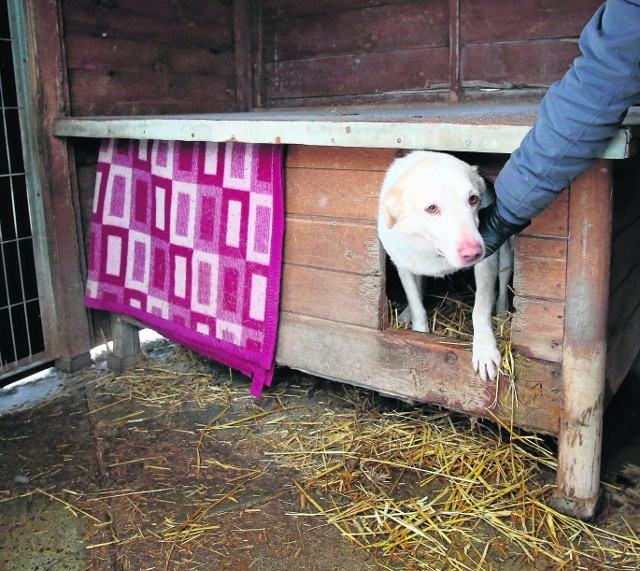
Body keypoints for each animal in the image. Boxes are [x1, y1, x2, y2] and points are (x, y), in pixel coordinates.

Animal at [378, 152, 512, 382]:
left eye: (473, 199)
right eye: (432, 208)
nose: (473, 252)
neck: (433, 250)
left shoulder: (487, 263)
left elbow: (480, 309)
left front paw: (484, 349)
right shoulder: (403, 265)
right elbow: (416, 304)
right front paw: (419, 332)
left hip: (506, 257)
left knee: (503, 286)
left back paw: (503, 314)